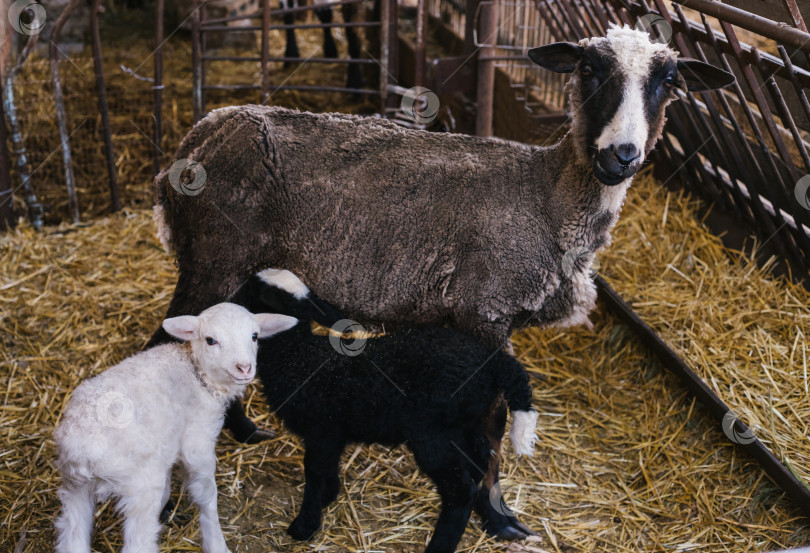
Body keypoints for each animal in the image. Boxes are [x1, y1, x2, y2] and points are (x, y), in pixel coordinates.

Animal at [52, 302, 296, 552]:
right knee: (138, 543)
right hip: (141, 486)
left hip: (75, 487)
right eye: (210, 340)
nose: (244, 368)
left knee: (72, 537)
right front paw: (216, 544)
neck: (196, 372)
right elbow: (206, 496)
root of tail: (82, 448)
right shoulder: (198, 442)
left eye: (254, 336)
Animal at [227, 268, 540, 552]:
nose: (225, 303)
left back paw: (439, 546)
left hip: (433, 435)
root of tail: (497, 362)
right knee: (480, 466)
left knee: (459, 491)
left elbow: (314, 472)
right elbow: (327, 470)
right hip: (467, 425)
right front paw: (329, 497)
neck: (298, 354)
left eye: (250, 293)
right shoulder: (334, 432)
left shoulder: (322, 429)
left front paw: (305, 525)